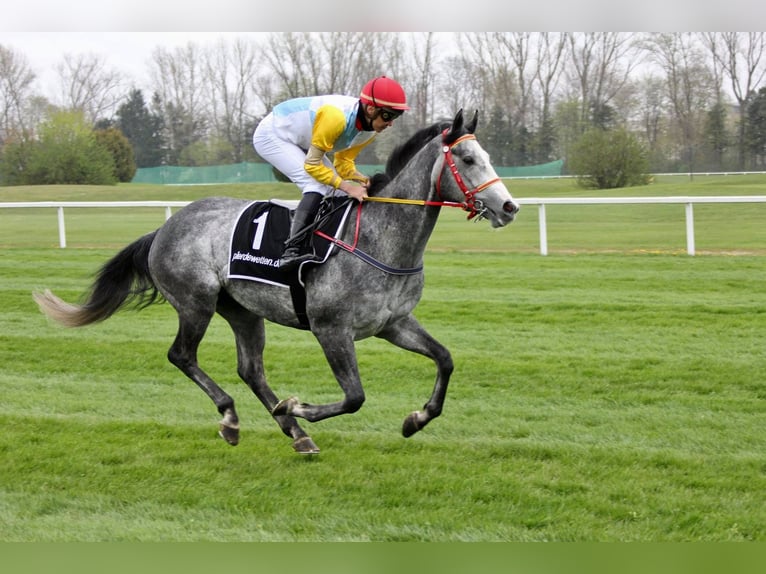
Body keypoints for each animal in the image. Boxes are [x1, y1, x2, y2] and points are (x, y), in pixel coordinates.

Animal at [31, 110, 520, 456]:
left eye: (488, 157)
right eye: (468, 159)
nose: (509, 207)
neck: (379, 239)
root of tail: (166, 227)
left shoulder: (392, 323)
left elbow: (445, 359)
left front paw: (416, 418)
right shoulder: (331, 329)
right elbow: (355, 397)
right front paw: (297, 405)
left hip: (243, 310)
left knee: (251, 369)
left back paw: (295, 433)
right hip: (196, 302)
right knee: (182, 355)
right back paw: (234, 418)